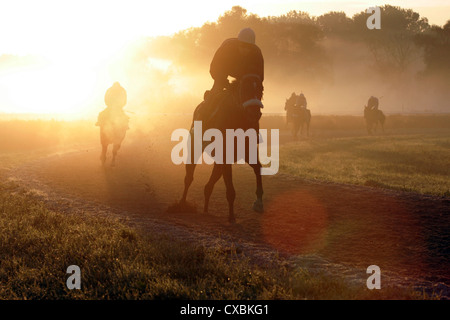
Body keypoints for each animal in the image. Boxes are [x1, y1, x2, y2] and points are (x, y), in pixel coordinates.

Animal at [178, 75, 264, 224]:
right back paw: (183, 203)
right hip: (195, 147)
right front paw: (231, 216)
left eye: (260, 89)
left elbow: (258, 168)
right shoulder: (225, 157)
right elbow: (230, 189)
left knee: (209, 184)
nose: (254, 113)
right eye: (245, 88)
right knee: (189, 176)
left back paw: (206, 208)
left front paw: (258, 202)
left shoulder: (247, 152)